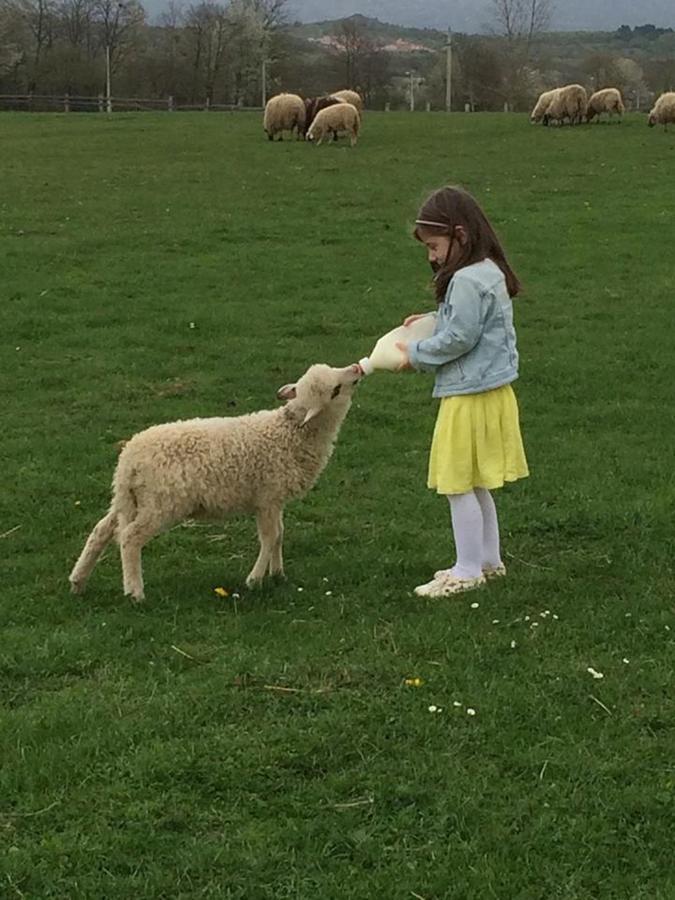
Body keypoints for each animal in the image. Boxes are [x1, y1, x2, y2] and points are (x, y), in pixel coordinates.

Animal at [68, 362, 362, 600]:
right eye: (336, 390)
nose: (357, 369)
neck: (289, 433)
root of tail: (129, 461)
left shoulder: (275, 499)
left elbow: (279, 535)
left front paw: (278, 574)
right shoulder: (267, 497)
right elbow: (270, 538)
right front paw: (255, 579)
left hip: (129, 499)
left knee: (101, 530)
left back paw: (78, 581)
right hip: (160, 503)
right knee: (129, 538)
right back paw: (135, 591)